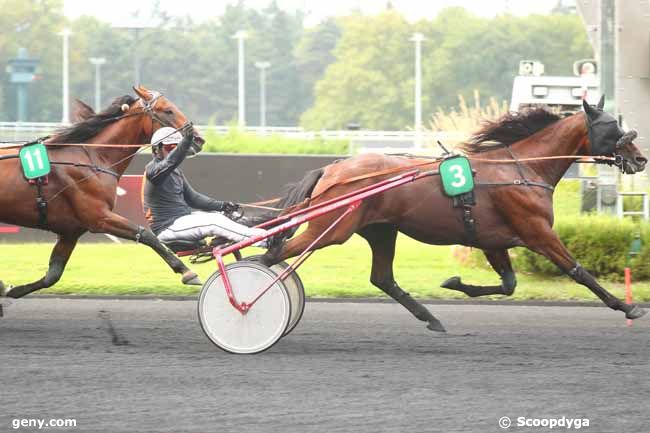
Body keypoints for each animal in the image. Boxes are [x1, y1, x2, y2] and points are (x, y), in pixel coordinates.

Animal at [0, 86, 202, 298]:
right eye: (168, 110)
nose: (199, 139)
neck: (93, 158)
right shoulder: (98, 217)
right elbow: (146, 235)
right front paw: (186, 271)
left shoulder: (70, 230)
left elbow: (53, 274)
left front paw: (11, 289)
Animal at [260, 96, 644, 330]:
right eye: (613, 128)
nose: (640, 158)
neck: (521, 169)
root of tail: (332, 170)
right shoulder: (538, 233)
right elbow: (579, 271)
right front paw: (627, 307)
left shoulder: (494, 240)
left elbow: (508, 285)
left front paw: (455, 283)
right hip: (332, 230)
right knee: (272, 255)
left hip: (381, 229)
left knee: (382, 278)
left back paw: (430, 318)